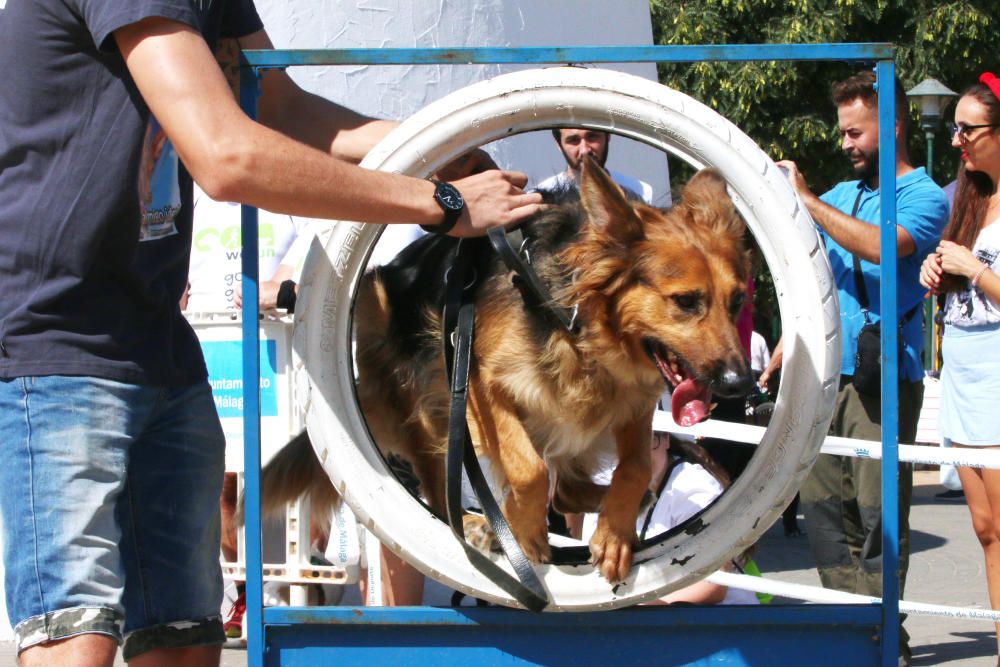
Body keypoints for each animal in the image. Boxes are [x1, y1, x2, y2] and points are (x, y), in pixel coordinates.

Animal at [266, 160, 752, 584]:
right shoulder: (480, 385)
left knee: (568, 489)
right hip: (422, 396)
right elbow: (529, 470)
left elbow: (634, 466)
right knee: (439, 487)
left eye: (736, 303)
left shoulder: (631, 398)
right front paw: (521, 529)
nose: (741, 385)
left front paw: (614, 534)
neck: (570, 313)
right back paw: (476, 523)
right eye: (685, 301)